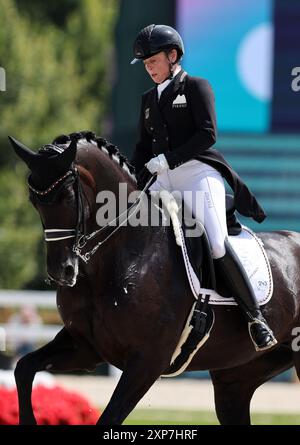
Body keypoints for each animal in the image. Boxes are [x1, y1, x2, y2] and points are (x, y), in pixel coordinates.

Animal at [8, 131, 300, 424]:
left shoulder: (147, 362)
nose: (62, 271)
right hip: (234, 380)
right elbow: (23, 367)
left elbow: (109, 418)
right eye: (34, 201)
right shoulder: (86, 347)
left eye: (67, 196)